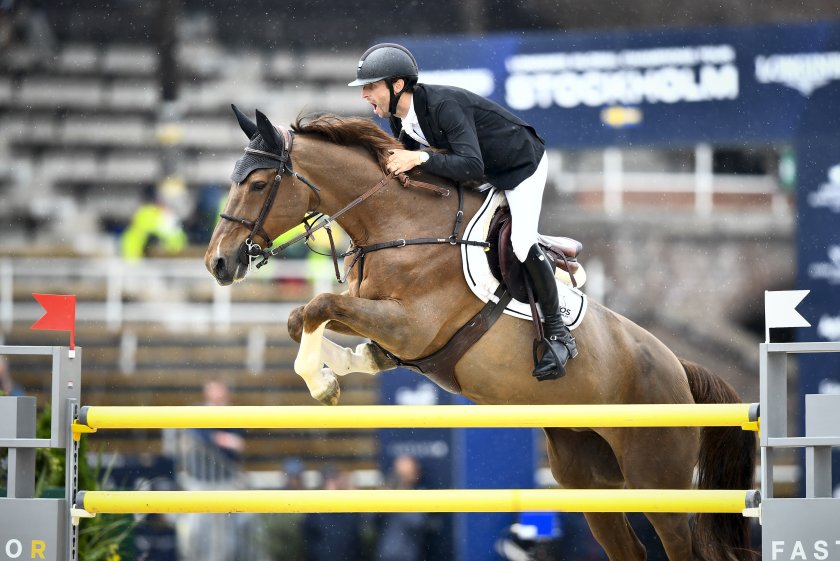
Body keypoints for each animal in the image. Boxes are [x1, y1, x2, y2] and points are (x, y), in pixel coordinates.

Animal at [207, 107, 756, 556]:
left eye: (258, 184)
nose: (218, 263)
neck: (400, 225)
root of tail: (678, 368)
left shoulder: (410, 325)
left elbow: (318, 305)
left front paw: (322, 384)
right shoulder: (384, 321)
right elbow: (305, 317)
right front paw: (340, 368)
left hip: (657, 479)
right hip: (588, 476)